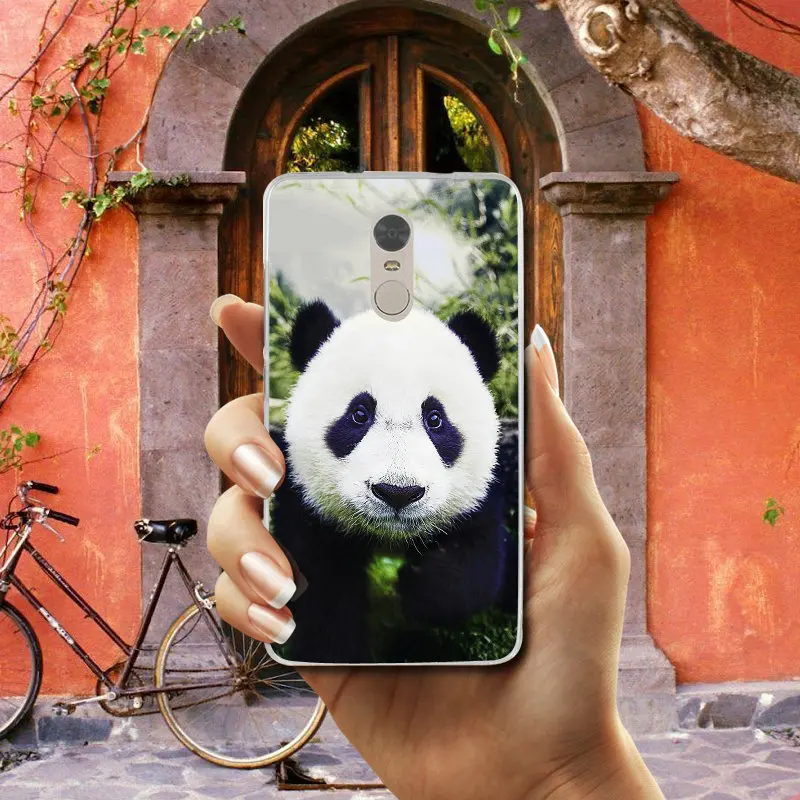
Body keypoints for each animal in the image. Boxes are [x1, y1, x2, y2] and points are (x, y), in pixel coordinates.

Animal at [270, 300, 516, 663]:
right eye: (359, 414)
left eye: (435, 419)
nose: (398, 493)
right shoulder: (307, 506)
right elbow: (323, 592)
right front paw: (337, 654)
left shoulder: (478, 498)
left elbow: (474, 563)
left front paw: (417, 587)